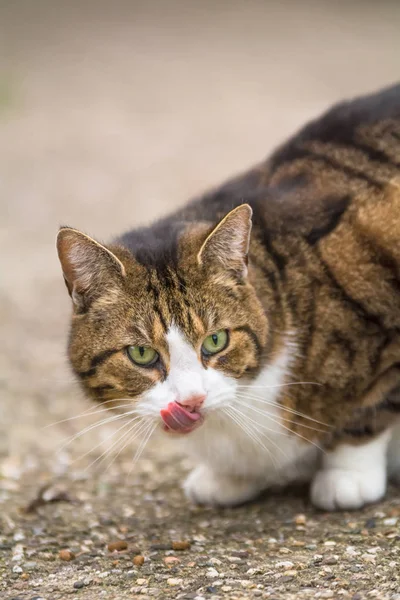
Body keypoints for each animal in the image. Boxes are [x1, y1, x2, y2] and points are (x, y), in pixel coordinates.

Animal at [55, 82, 400, 508]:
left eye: (216, 341)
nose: (191, 402)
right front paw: (229, 478)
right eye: (141, 354)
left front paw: (347, 475)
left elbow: (370, 409)